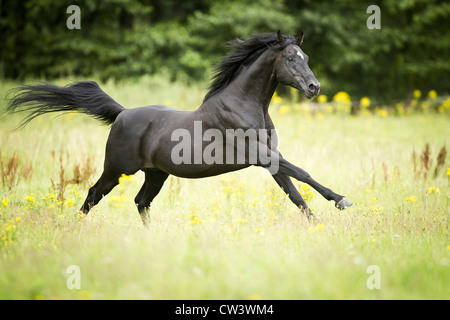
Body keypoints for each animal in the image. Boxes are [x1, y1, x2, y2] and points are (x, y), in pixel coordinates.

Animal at [7, 31, 352, 224]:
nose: (314, 88)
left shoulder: (269, 158)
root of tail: (122, 114)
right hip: (117, 169)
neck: (244, 106)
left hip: (156, 173)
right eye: (292, 58)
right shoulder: (259, 154)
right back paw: (75, 227)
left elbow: (294, 192)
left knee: (141, 201)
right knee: (94, 194)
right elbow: (302, 174)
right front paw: (342, 201)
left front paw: (315, 222)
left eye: (306, 56)